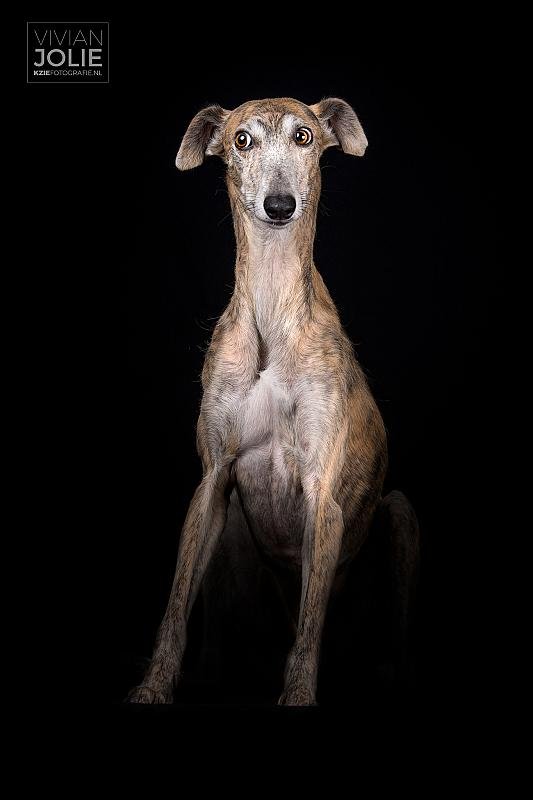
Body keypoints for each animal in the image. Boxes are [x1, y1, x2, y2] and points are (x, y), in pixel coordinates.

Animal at [127, 97, 419, 706]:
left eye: (304, 135)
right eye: (242, 140)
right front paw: (153, 685)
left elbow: (309, 625)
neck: (272, 308)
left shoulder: (322, 493)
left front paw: (299, 694)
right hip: (233, 529)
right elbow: (175, 605)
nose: (280, 205)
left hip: (400, 516)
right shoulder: (212, 478)